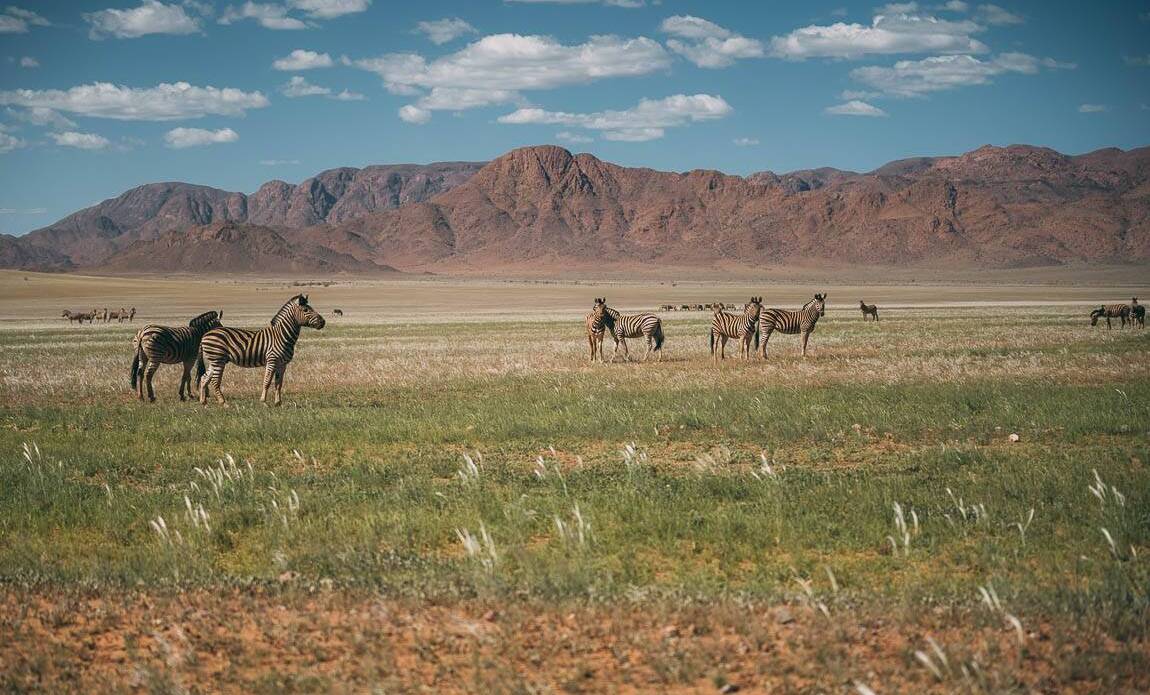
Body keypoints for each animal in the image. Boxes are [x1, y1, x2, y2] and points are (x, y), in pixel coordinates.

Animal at [195, 294, 326, 407]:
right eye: (306, 310)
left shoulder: (283, 364)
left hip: (214, 360)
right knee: (215, 381)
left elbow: (279, 384)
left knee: (204, 378)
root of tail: (205, 335)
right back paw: (224, 403)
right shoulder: (272, 360)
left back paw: (203, 402)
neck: (282, 335)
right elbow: (267, 381)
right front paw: (264, 402)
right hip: (218, 359)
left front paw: (278, 403)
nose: (323, 322)